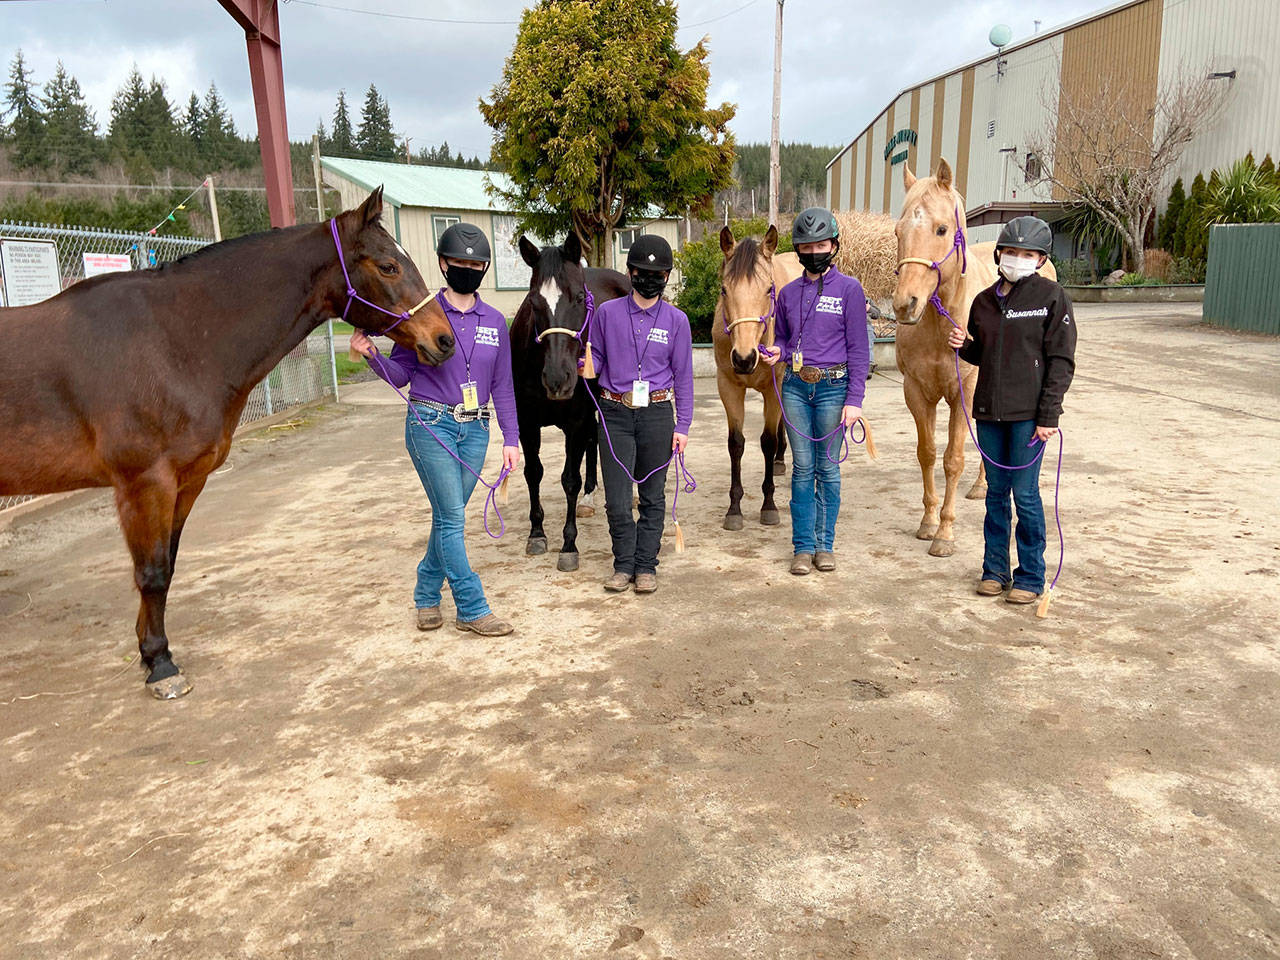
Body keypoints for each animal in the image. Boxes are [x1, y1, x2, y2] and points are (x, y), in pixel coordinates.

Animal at [0, 188, 453, 701]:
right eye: (388, 266)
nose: (443, 340)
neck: (171, 341)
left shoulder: (186, 482)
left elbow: (168, 564)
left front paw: (147, 652)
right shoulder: (144, 485)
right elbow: (151, 573)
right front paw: (161, 665)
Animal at [509, 236, 629, 576]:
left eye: (578, 297)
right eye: (533, 301)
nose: (557, 378)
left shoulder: (576, 420)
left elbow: (569, 480)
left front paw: (568, 544)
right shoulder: (526, 423)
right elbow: (533, 472)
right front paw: (537, 532)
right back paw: (590, 497)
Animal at [711, 227, 798, 535]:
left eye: (768, 289)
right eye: (724, 290)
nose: (744, 358)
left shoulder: (774, 387)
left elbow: (767, 441)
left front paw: (768, 506)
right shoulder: (728, 387)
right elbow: (736, 443)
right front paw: (734, 509)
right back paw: (781, 461)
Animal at [890, 161, 1059, 560]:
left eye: (941, 229)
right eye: (898, 230)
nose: (905, 305)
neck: (940, 325)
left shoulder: (962, 395)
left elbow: (953, 460)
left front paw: (944, 534)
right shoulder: (916, 392)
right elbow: (927, 454)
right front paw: (927, 522)